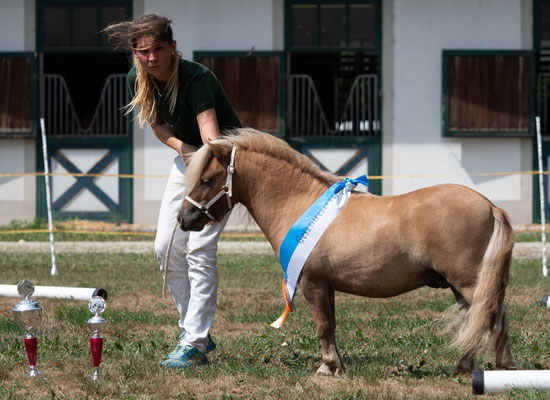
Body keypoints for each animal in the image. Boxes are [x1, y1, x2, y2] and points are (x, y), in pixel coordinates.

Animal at [179, 128, 520, 376]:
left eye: (207, 180)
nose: (184, 219)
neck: (300, 203)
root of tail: (490, 206)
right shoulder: (326, 286)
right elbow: (330, 325)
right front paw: (336, 364)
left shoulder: (312, 283)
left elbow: (322, 325)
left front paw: (327, 367)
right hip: (461, 286)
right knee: (480, 318)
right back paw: (470, 366)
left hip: (469, 283)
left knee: (493, 316)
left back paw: (502, 367)